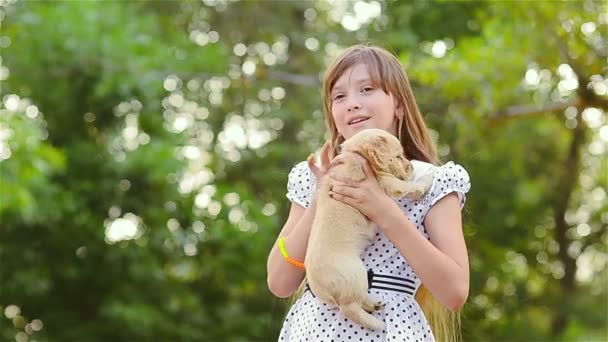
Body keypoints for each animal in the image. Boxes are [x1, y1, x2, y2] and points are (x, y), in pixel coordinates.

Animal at [304, 127, 432, 328]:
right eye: (398, 156)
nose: (411, 166)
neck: (358, 154)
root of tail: (321, 290)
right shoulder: (388, 183)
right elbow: (410, 186)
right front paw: (427, 178)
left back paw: (374, 304)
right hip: (355, 275)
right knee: (349, 307)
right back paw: (376, 323)